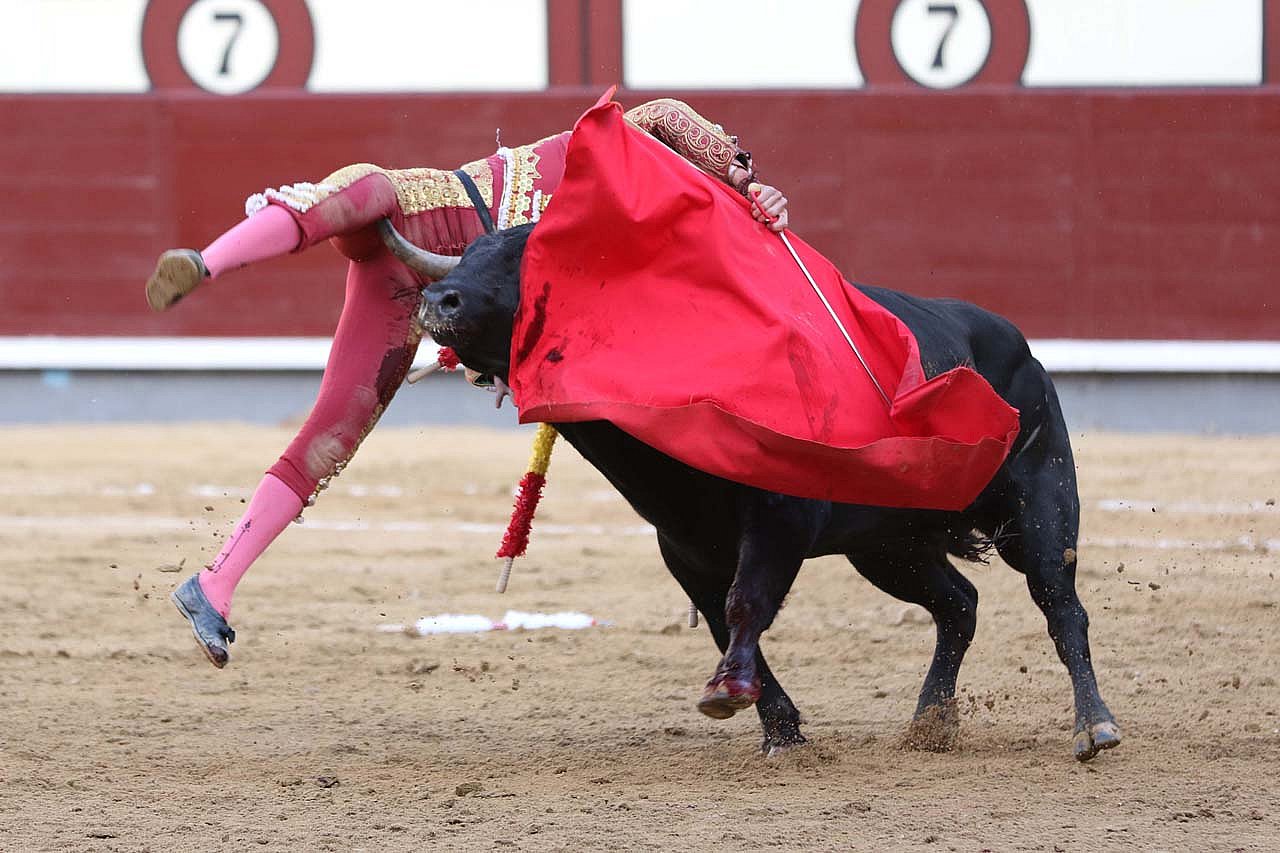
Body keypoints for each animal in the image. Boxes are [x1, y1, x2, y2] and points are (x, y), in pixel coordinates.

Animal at [381, 220, 1121, 762]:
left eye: (530, 262)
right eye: (467, 256)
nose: (437, 301)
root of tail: (1017, 343)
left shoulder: (776, 521)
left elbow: (747, 604)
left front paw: (734, 695)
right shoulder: (686, 546)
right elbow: (722, 619)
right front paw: (780, 727)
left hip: (1039, 504)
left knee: (1060, 605)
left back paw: (1093, 726)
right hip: (888, 544)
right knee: (959, 604)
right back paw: (930, 722)